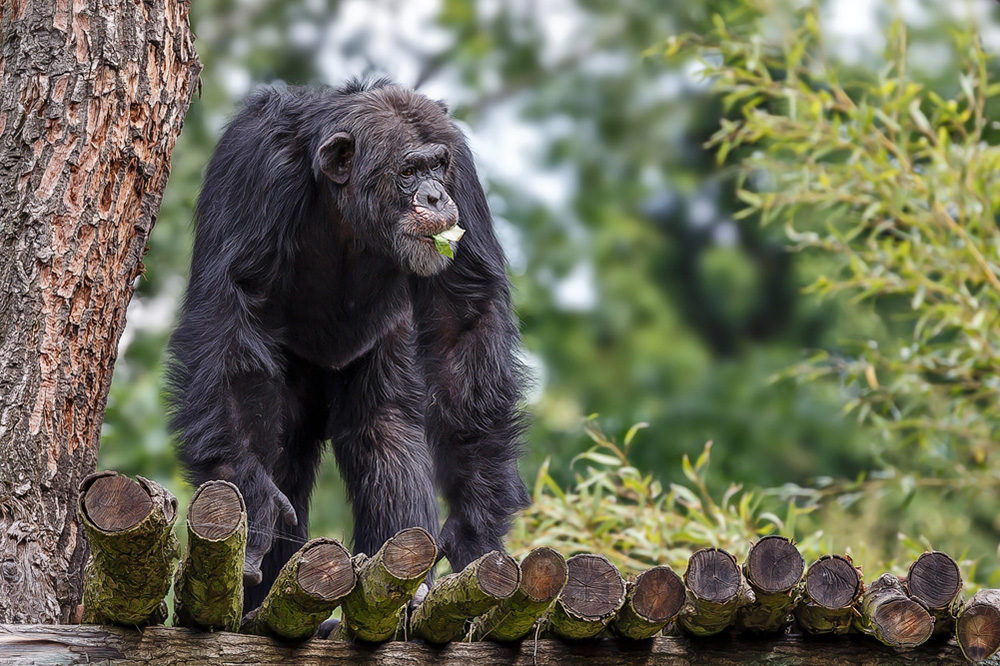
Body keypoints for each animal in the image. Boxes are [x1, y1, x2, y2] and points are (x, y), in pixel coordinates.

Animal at [164, 79, 528, 608]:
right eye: (409, 171)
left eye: (437, 165)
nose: (436, 195)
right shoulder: (255, 167)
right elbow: (233, 310)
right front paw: (256, 503)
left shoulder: (463, 168)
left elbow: (462, 320)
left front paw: (473, 525)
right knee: (283, 441)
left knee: (384, 430)